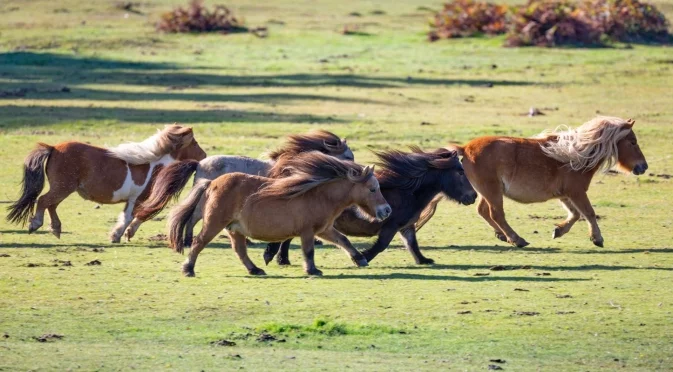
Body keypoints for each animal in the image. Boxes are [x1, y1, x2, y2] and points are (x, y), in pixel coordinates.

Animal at [5, 123, 205, 243]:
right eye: (194, 142)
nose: (204, 156)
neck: (154, 165)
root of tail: (53, 148)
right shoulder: (138, 198)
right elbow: (132, 216)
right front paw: (119, 235)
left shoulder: (133, 200)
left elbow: (130, 216)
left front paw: (120, 235)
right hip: (62, 187)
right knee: (44, 201)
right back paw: (35, 224)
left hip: (63, 188)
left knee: (51, 205)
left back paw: (55, 229)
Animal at [152, 151, 392, 276]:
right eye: (373, 189)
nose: (387, 210)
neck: (318, 193)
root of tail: (211, 183)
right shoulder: (308, 232)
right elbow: (308, 251)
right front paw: (312, 270)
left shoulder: (324, 229)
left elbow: (343, 240)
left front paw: (360, 259)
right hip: (214, 224)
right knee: (198, 242)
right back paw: (188, 268)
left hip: (234, 229)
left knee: (240, 250)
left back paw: (255, 269)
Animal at [262, 147, 478, 266]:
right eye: (460, 171)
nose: (474, 196)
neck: (406, 192)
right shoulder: (390, 225)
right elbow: (381, 245)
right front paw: (363, 257)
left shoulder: (406, 226)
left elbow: (412, 245)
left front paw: (424, 260)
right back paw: (274, 256)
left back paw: (280, 259)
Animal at [438, 116, 648, 247]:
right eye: (633, 142)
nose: (643, 166)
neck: (576, 155)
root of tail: (465, 148)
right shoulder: (577, 192)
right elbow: (588, 212)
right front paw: (597, 238)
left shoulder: (565, 195)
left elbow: (575, 214)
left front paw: (559, 231)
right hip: (493, 191)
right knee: (496, 214)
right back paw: (517, 239)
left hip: (488, 192)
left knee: (483, 211)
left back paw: (503, 236)